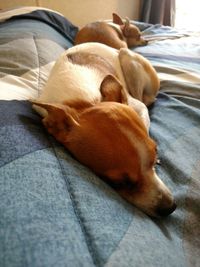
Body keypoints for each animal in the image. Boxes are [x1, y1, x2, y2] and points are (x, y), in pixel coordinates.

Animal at [32, 42, 176, 218]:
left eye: (155, 154)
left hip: (128, 59)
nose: (170, 207)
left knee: (146, 97)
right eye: (119, 182)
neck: (85, 103)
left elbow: (143, 115)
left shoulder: (139, 106)